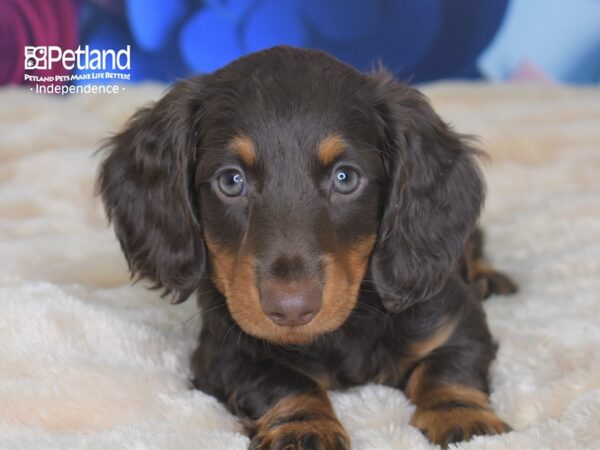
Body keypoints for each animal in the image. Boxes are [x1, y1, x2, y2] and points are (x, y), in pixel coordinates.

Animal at [97, 47, 516, 448]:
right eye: (231, 181)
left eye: (345, 178)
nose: (291, 309)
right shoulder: (225, 351)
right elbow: (282, 380)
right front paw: (304, 426)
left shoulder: (454, 320)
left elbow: (449, 367)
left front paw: (462, 415)